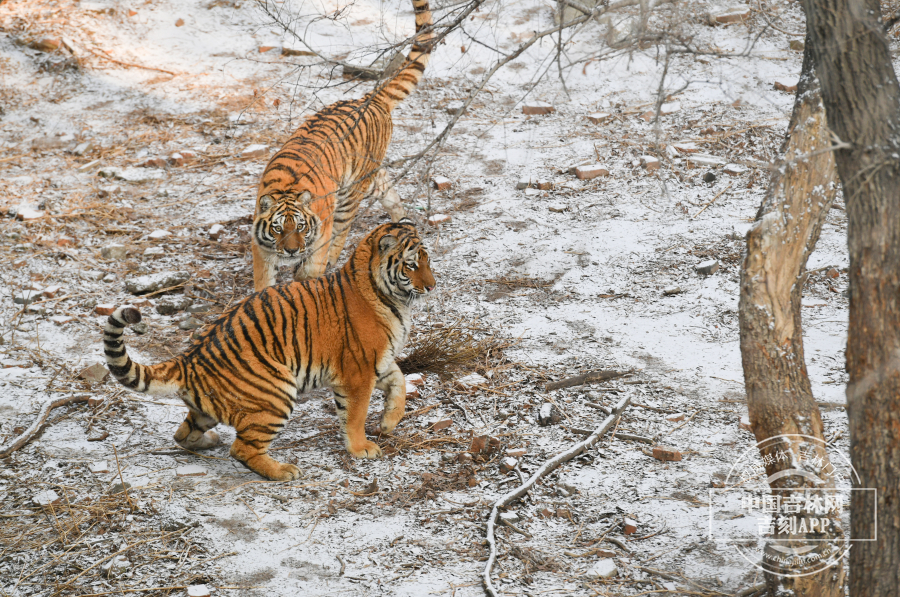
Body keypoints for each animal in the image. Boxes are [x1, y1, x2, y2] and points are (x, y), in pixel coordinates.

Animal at [105, 221, 436, 482]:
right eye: (411, 265)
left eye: (427, 260)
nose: (432, 287)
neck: (390, 296)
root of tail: (190, 359)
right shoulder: (358, 371)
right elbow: (354, 415)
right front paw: (361, 448)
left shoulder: (378, 362)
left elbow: (400, 382)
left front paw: (389, 422)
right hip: (277, 392)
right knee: (241, 448)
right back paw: (283, 471)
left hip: (211, 408)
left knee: (183, 433)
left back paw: (207, 441)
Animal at [253, 0, 436, 292]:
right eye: (278, 228)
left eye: (301, 227)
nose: (292, 251)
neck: (287, 190)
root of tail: (369, 99)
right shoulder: (261, 249)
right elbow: (264, 280)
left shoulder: (319, 235)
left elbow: (311, 269)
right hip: (370, 175)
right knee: (389, 192)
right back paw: (404, 221)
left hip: (351, 192)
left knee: (343, 229)